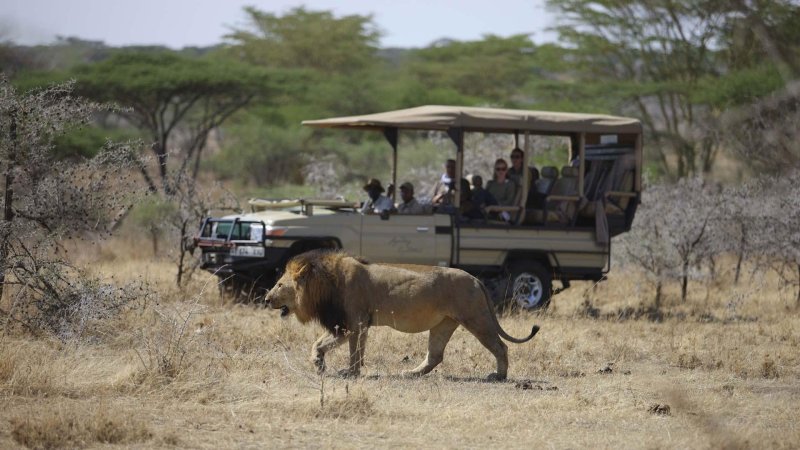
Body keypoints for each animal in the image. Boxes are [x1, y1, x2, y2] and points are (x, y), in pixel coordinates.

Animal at [266, 250, 540, 380]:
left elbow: (354, 352)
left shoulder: (355, 322)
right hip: (443, 324)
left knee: (501, 346)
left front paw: (349, 373)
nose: (266, 299)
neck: (326, 283)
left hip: (476, 319)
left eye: (279, 284)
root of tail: (475, 279)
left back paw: (499, 376)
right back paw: (410, 374)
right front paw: (319, 363)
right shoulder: (347, 324)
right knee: (435, 356)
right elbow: (321, 343)